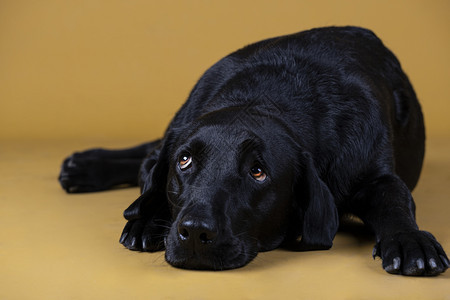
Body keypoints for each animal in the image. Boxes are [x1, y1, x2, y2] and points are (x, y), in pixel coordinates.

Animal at [59, 27, 446, 276]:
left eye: (257, 171)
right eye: (184, 161)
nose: (196, 232)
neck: (268, 96)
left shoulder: (374, 173)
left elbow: (394, 200)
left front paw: (410, 240)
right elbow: (152, 177)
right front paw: (145, 220)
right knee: (149, 154)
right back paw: (87, 167)